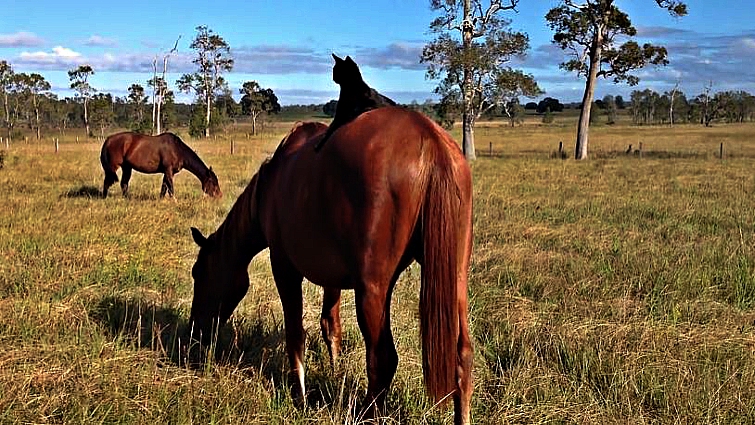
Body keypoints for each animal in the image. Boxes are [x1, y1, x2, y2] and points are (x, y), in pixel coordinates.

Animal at [189, 107, 474, 424]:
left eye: (198, 274)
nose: (194, 335)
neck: (268, 187)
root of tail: (431, 140)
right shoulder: (332, 279)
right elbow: (330, 326)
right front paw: (335, 372)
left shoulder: (284, 267)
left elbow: (295, 333)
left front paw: (299, 396)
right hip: (455, 280)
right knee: (462, 356)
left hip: (372, 291)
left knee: (382, 358)